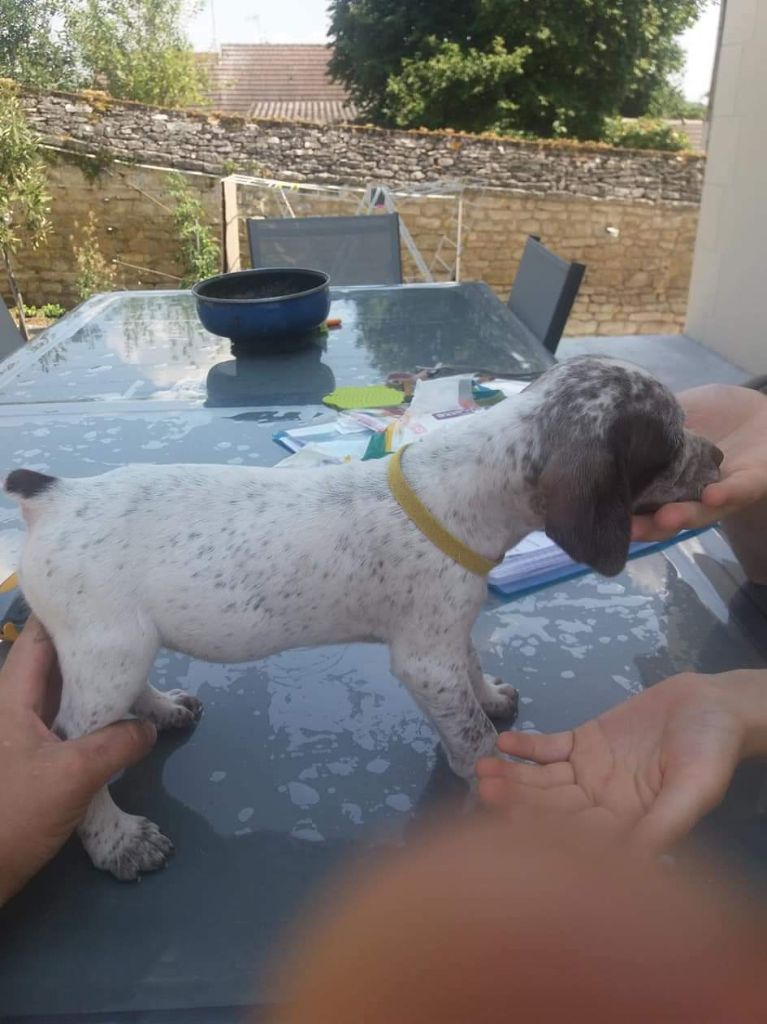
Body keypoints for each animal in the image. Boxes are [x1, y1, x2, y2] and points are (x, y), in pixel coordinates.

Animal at [5, 356, 722, 880]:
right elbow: (471, 739)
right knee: (73, 738)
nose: (716, 457)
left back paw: (161, 709)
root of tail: (54, 494)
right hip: (107, 650)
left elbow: (472, 670)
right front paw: (502, 784)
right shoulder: (424, 660)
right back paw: (115, 838)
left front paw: (490, 697)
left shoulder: (445, 634)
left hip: (119, 646)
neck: (468, 486)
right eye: (668, 441)